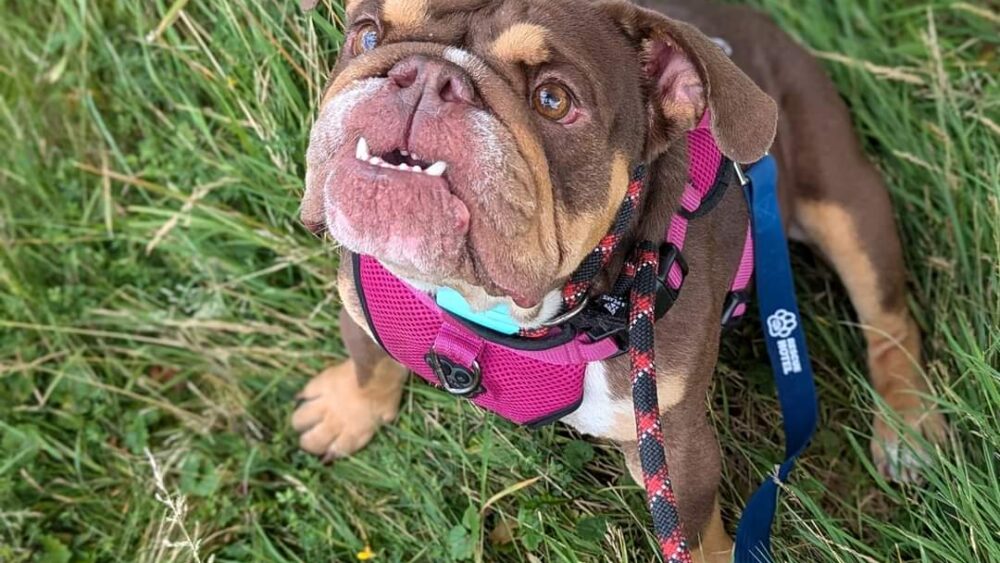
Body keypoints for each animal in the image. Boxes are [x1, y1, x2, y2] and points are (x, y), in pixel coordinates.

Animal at [292, 0, 948, 556]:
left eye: (553, 99)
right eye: (366, 33)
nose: (427, 78)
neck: (487, 309)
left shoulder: (677, 451)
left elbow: (696, 532)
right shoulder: (359, 299)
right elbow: (367, 358)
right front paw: (347, 409)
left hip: (847, 202)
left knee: (890, 318)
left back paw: (907, 426)